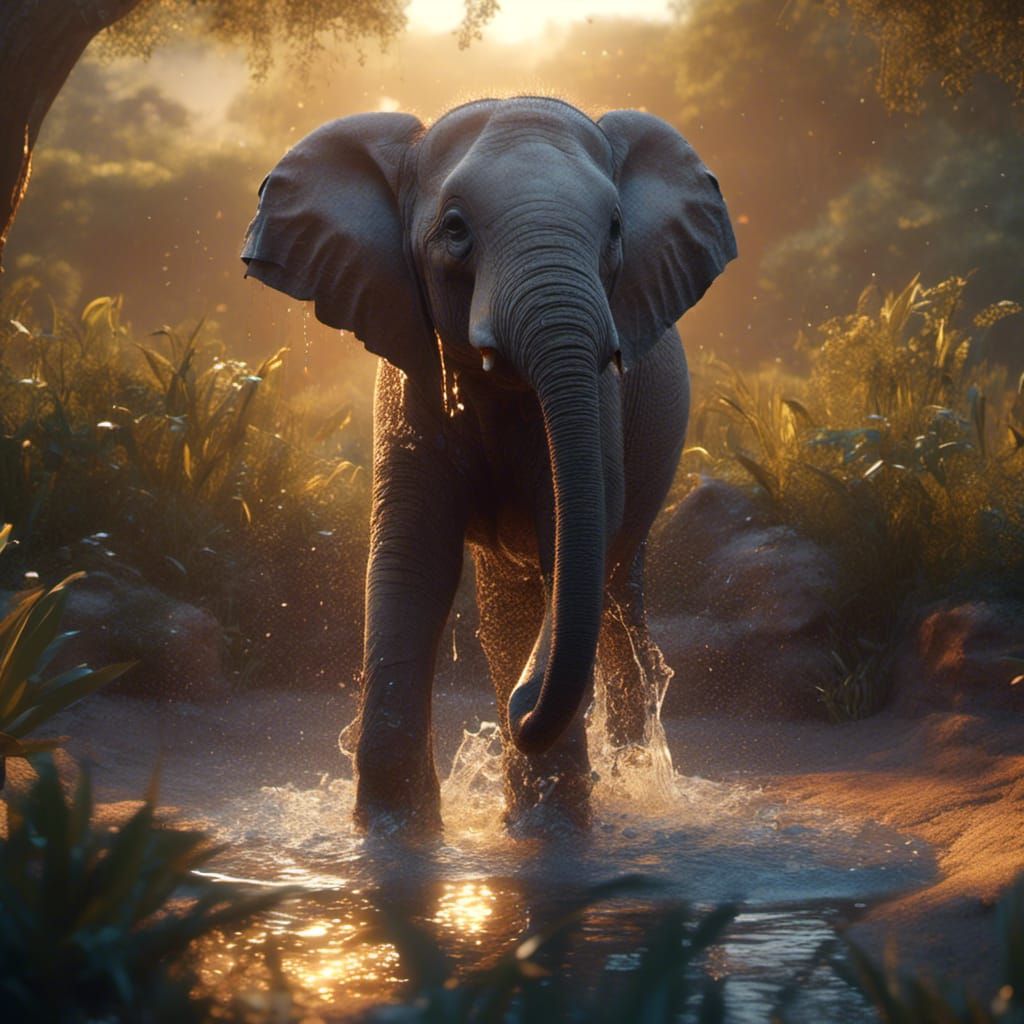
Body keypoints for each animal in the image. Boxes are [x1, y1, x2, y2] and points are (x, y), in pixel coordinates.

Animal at [241, 96, 736, 836]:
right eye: (454, 230)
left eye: (616, 228)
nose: (523, 708)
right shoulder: (407, 392)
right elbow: (413, 559)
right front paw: (391, 832)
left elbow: (572, 543)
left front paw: (553, 822)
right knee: (519, 605)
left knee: (614, 587)